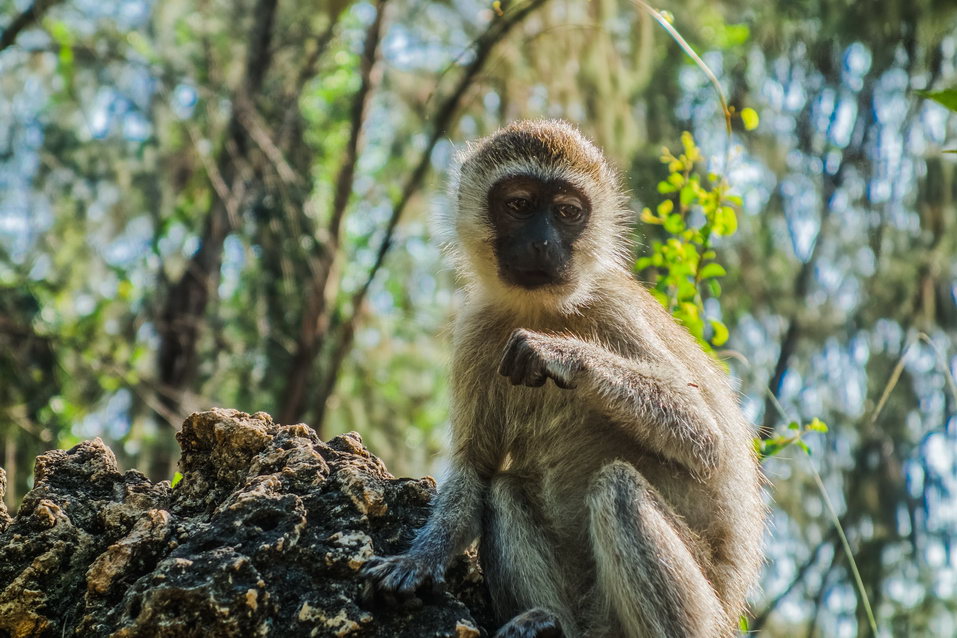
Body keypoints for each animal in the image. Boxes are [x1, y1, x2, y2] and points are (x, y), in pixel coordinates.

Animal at [362, 121, 764, 638]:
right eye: (519, 204)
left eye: (567, 212)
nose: (541, 243)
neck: (541, 309)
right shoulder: (475, 331)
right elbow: (477, 468)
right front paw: (421, 558)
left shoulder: (615, 307)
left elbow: (706, 437)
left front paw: (564, 354)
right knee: (503, 490)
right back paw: (547, 621)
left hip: (704, 607)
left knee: (617, 487)